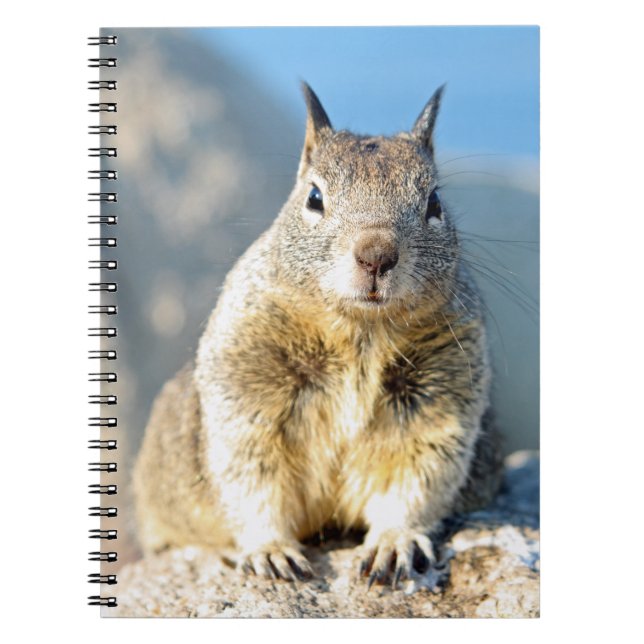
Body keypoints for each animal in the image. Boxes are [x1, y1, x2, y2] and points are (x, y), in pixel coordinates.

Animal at [133, 83, 503, 587]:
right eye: (313, 197)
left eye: (434, 203)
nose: (377, 255)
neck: (361, 333)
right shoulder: (246, 385)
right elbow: (252, 478)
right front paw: (270, 551)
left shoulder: (440, 400)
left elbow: (416, 478)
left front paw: (395, 542)